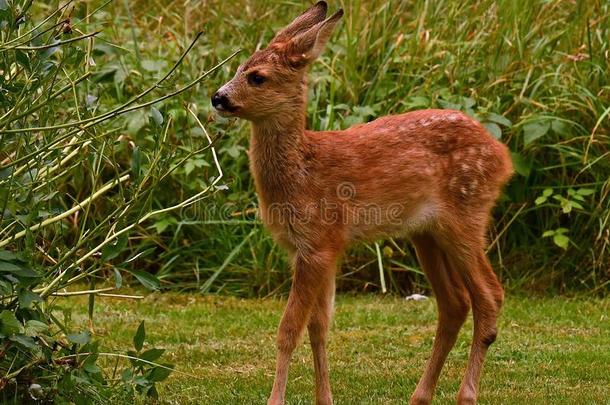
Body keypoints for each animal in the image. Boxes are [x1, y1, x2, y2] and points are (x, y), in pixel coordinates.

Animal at [211, 1, 510, 402]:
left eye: (257, 77)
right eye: (238, 67)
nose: (218, 97)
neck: (302, 172)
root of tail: (502, 155)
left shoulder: (320, 241)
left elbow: (288, 330)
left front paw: (275, 399)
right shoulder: (313, 249)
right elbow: (318, 327)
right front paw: (324, 398)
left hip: (466, 215)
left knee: (490, 295)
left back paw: (466, 395)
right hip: (426, 233)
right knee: (455, 303)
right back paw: (420, 395)